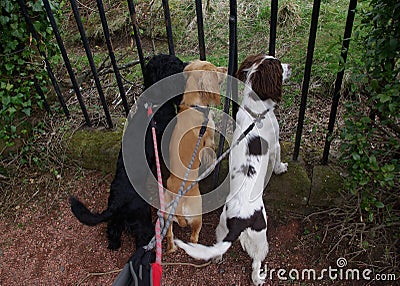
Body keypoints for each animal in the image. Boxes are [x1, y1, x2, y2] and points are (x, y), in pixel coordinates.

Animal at [70, 54, 186, 250]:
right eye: (174, 63)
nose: (185, 64)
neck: (154, 101)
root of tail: (115, 204)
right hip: (141, 218)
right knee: (142, 236)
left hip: (117, 220)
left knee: (112, 229)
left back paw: (114, 244)